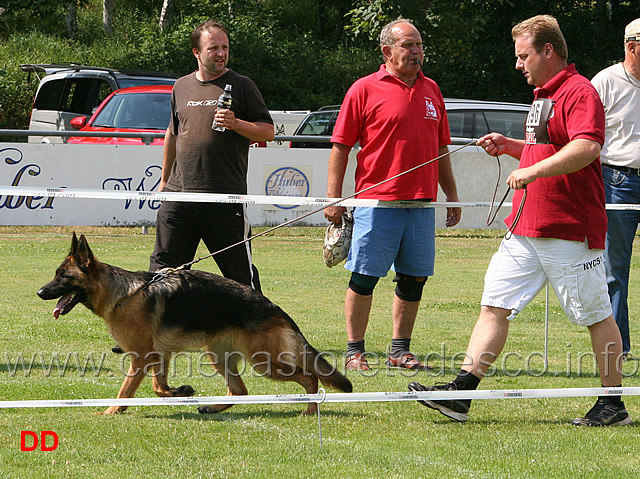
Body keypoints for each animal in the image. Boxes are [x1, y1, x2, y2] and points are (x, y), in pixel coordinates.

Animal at [37, 234, 352, 414]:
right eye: (55, 274)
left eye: (63, 277)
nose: (40, 292)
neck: (123, 294)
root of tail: (277, 310)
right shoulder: (158, 355)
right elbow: (158, 387)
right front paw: (181, 391)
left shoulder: (142, 357)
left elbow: (127, 388)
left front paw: (111, 411)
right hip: (218, 355)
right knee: (240, 391)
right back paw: (213, 408)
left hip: (263, 362)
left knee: (309, 378)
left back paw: (310, 411)